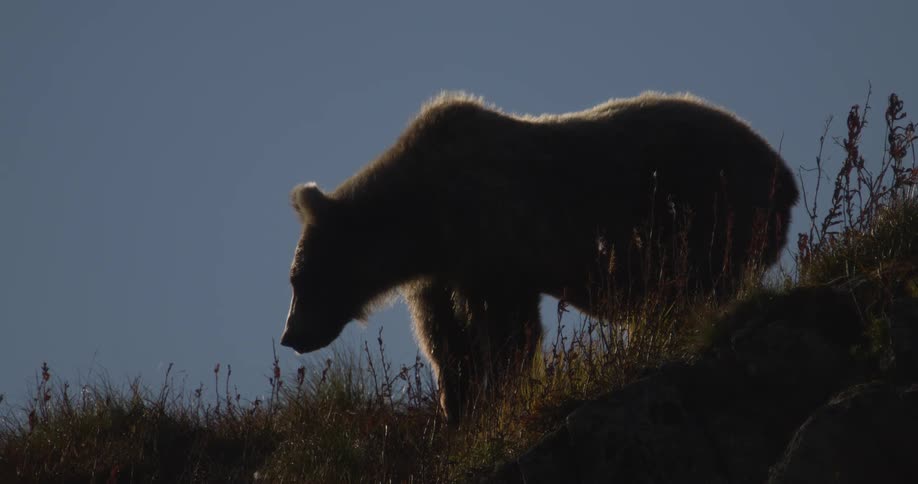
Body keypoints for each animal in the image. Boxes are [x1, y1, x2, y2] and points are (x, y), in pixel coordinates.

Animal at [280, 91, 799, 422]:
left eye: (299, 280)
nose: (290, 336)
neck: (427, 220)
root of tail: (785, 173)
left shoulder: (497, 243)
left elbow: (508, 330)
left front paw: (496, 392)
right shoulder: (443, 272)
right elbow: (444, 337)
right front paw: (456, 402)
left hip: (709, 203)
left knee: (699, 282)